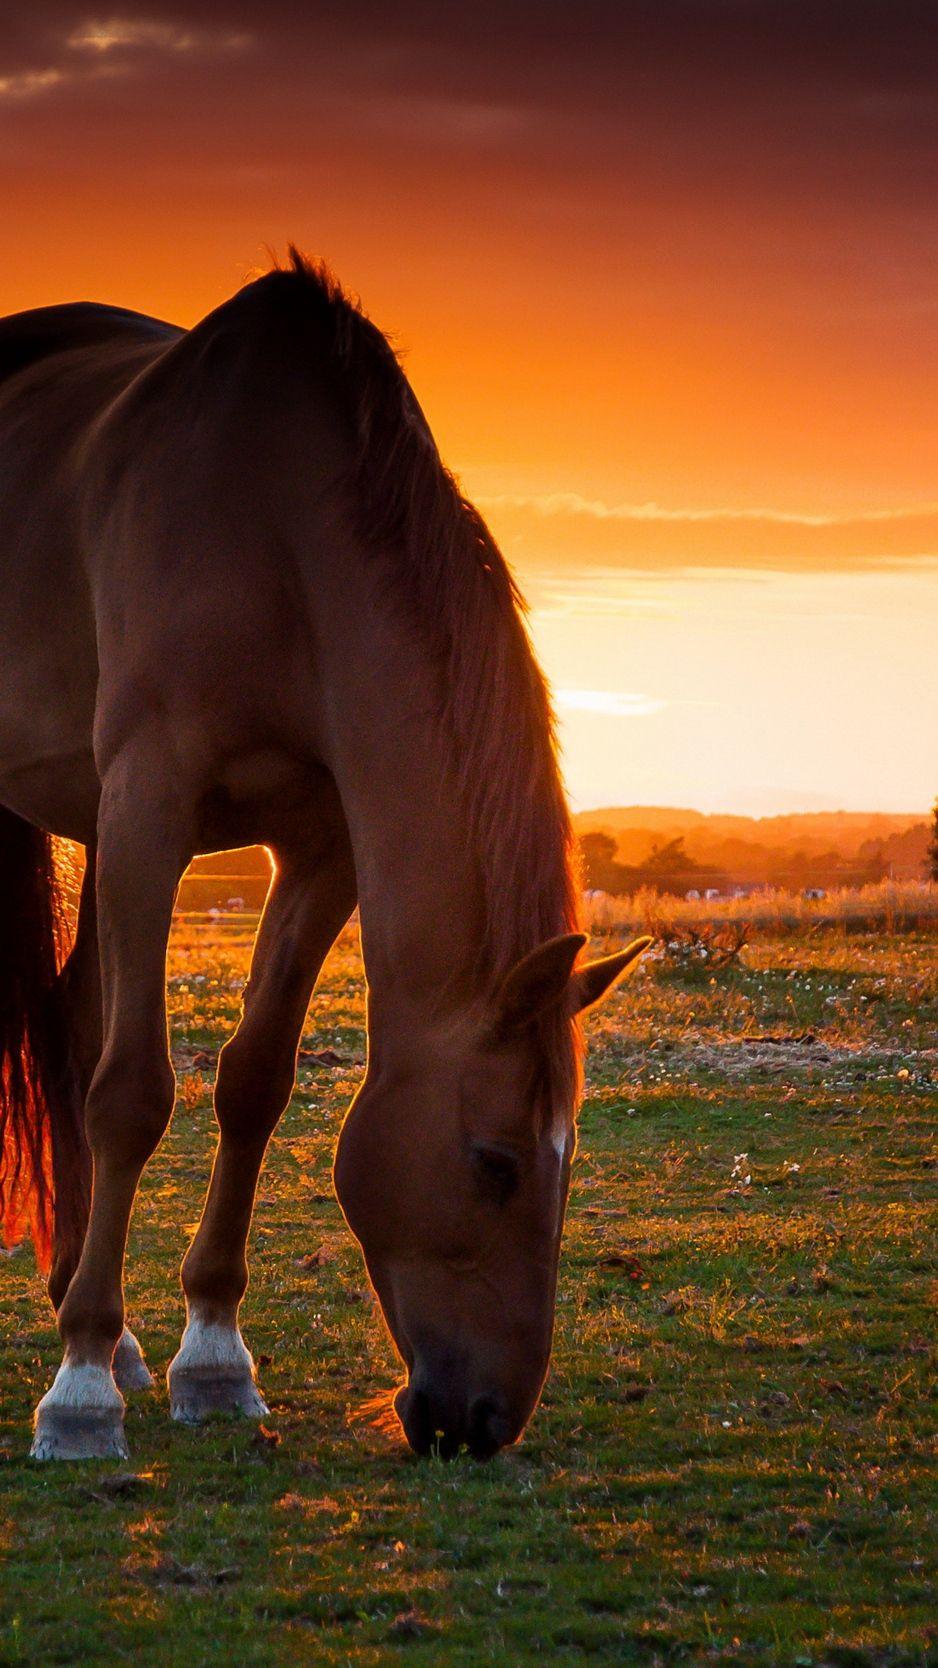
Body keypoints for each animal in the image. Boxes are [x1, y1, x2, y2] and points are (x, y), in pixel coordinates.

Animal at [0, 251, 649, 1462]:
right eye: (494, 1163)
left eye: (566, 1163)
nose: (484, 1420)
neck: (276, 538)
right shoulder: (153, 804)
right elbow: (133, 1091)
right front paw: (80, 1393)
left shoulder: (317, 848)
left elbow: (253, 1081)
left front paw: (209, 1359)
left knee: (68, 1027)